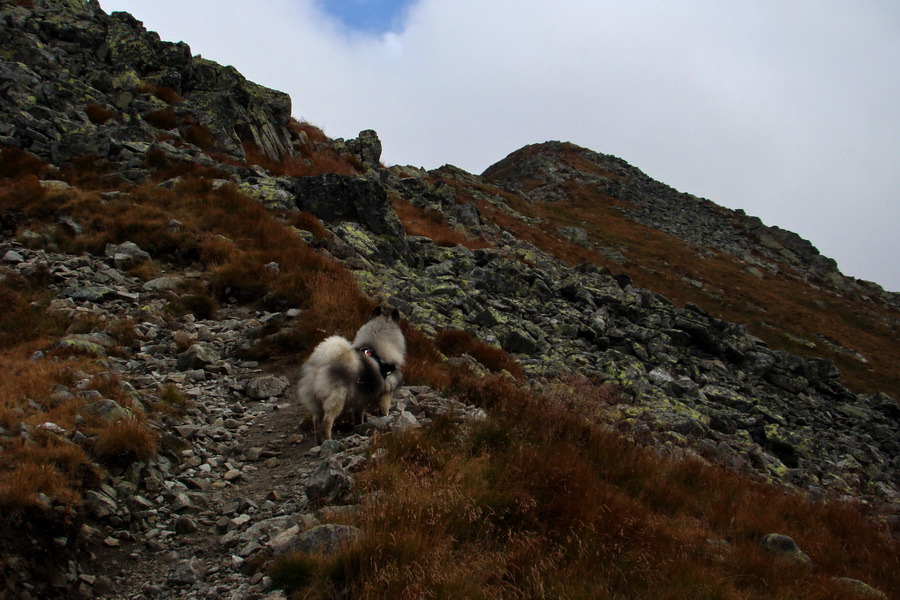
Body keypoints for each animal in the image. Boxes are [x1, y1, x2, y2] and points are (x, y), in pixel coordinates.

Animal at [298, 308, 406, 442]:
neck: (375, 349)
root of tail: (321, 363)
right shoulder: (386, 393)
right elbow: (384, 410)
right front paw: (385, 418)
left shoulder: (360, 400)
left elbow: (358, 418)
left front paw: (360, 427)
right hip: (336, 400)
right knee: (327, 423)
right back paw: (328, 440)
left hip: (316, 404)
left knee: (316, 424)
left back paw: (319, 442)